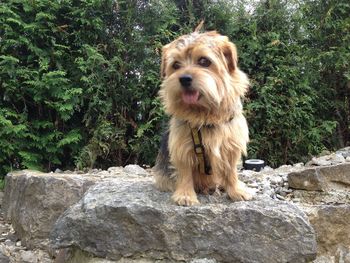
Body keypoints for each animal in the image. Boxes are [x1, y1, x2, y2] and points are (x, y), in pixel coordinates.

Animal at [153, 26, 252, 206]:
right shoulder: (181, 146)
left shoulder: (232, 144)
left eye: (204, 61)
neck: (204, 114)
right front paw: (185, 195)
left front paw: (236, 191)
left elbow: (231, 170)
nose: (184, 79)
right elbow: (184, 171)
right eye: (176, 65)